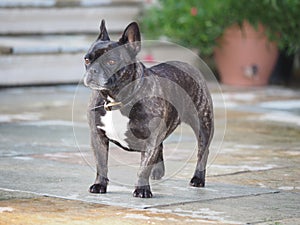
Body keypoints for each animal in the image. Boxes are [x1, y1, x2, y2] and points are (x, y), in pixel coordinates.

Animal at [82, 20, 213, 198]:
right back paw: (158, 171)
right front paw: (99, 185)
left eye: (111, 62)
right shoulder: (98, 136)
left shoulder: (150, 138)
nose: (93, 70)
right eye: (87, 60)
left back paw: (198, 178)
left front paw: (142, 189)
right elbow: (101, 163)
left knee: (202, 151)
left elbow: (143, 168)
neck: (116, 99)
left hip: (203, 123)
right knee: (161, 146)